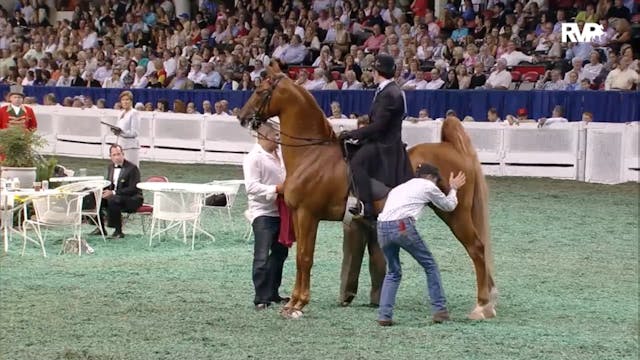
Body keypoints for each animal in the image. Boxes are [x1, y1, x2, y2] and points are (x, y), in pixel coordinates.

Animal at [238, 63, 498, 320]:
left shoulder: (308, 215)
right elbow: (300, 257)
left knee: (477, 249)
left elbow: (304, 257)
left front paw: (299, 304)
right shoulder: (298, 216)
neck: (313, 155)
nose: (242, 117)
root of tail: (452, 148)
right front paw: (292, 302)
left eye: (260, 91)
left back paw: (482, 306)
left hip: (455, 213)